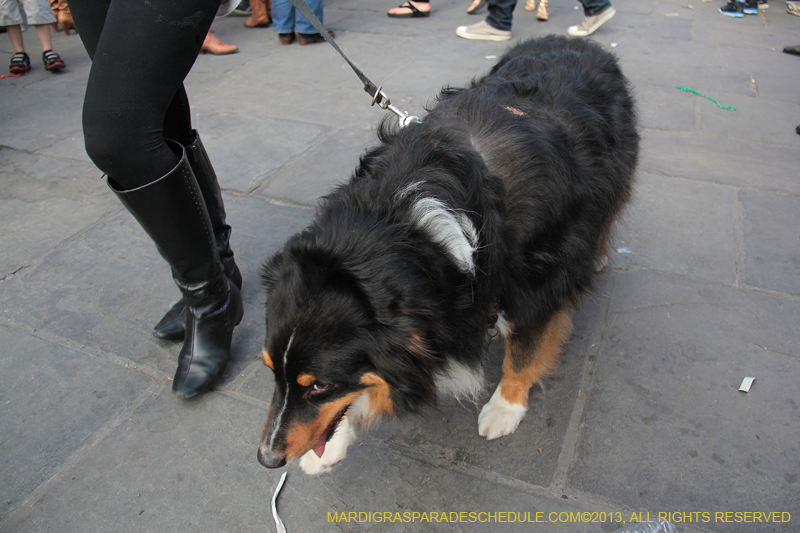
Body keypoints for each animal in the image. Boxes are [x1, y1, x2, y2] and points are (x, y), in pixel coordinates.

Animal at [256, 34, 636, 474]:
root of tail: (576, 40)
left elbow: (524, 351)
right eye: (270, 371)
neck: (402, 222)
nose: (267, 458)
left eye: (319, 384)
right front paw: (331, 446)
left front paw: (504, 409)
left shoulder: (537, 283)